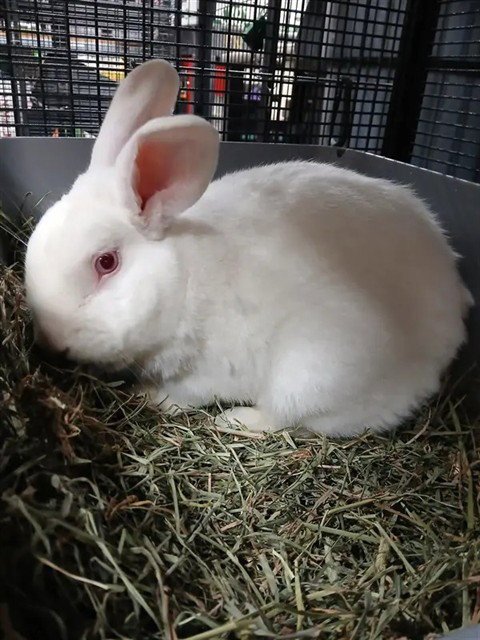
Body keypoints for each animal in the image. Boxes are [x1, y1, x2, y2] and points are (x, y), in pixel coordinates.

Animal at [24, 59, 473, 437]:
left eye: (106, 262)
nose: (49, 342)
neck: (185, 278)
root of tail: (452, 319)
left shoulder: (207, 372)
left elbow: (184, 395)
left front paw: (148, 396)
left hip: (309, 378)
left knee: (285, 419)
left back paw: (235, 420)